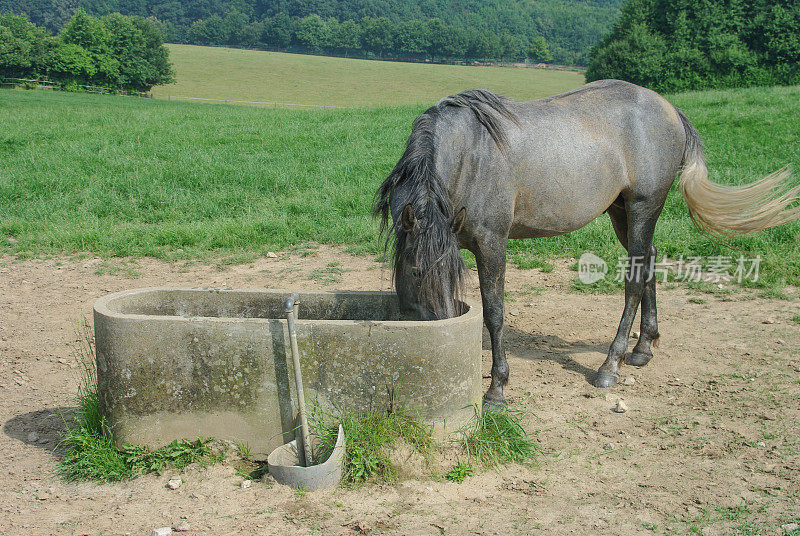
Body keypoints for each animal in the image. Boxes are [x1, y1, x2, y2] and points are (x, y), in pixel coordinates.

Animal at [376, 79, 800, 406]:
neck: (469, 154)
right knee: (647, 262)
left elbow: (494, 314)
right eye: (415, 271)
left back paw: (610, 366)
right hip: (621, 212)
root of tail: (669, 109)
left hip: (645, 206)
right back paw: (643, 348)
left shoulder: (492, 243)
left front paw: (497, 389)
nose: (441, 337)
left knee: (634, 281)